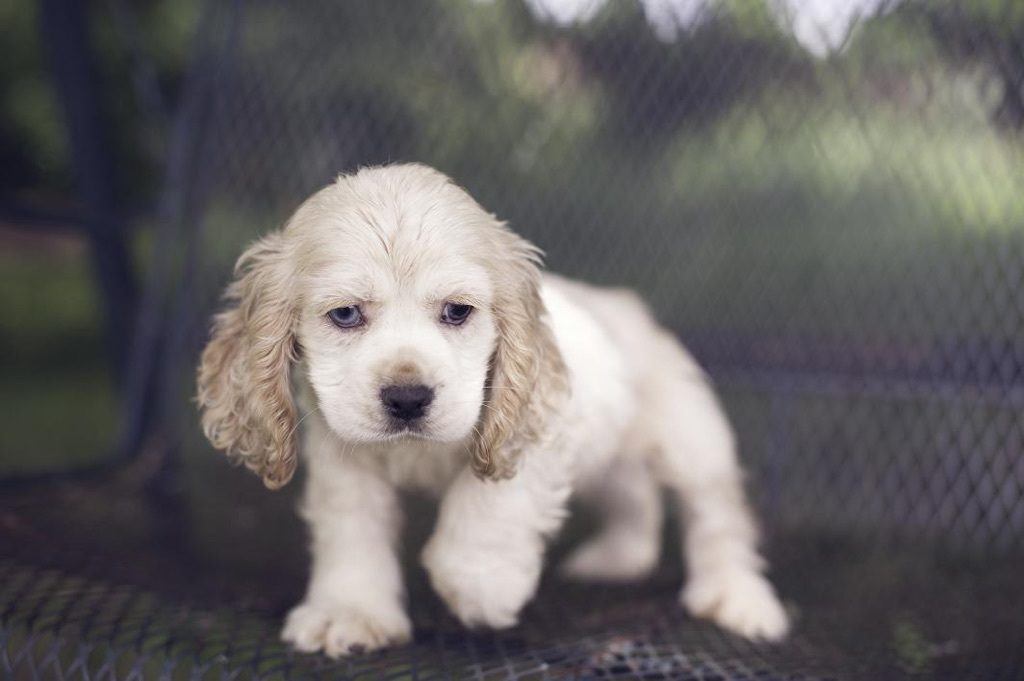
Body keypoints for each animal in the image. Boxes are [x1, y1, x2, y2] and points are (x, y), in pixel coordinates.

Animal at [195, 161, 786, 655]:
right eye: (344, 314)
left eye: (458, 312)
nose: (407, 398)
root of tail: (627, 305)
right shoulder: (343, 454)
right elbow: (352, 530)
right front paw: (350, 612)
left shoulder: (535, 427)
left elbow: (490, 505)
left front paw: (482, 585)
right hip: (613, 457)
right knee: (633, 494)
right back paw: (618, 559)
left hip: (690, 441)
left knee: (717, 517)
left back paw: (739, 600)